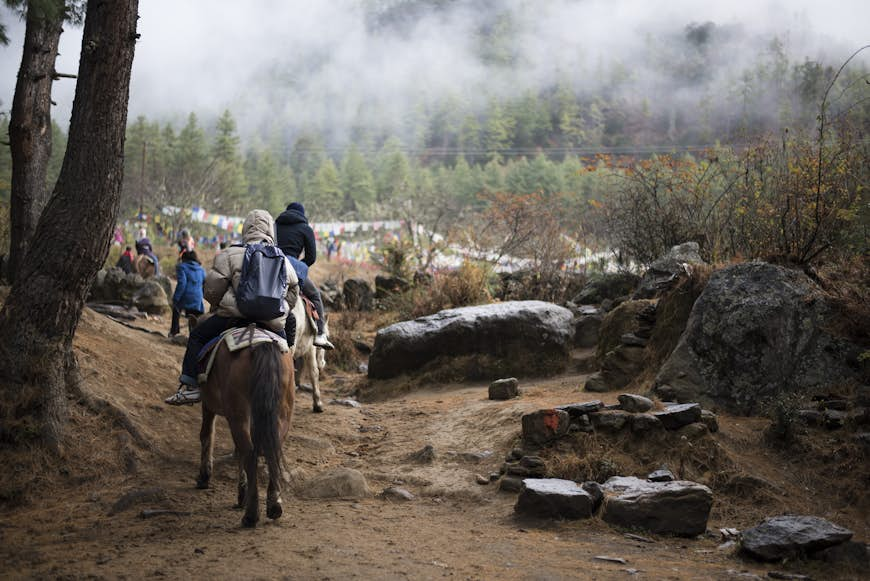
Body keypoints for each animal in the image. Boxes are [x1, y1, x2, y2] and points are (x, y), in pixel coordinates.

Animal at [195, 330, 296, 524]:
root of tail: (262, 344)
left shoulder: (208, 403)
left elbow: (207, 434)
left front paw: (204, 476)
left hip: (238, 412)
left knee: (248, 452)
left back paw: (251, 514)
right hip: (281, 412)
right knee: (271, 450)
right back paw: (274, 505)